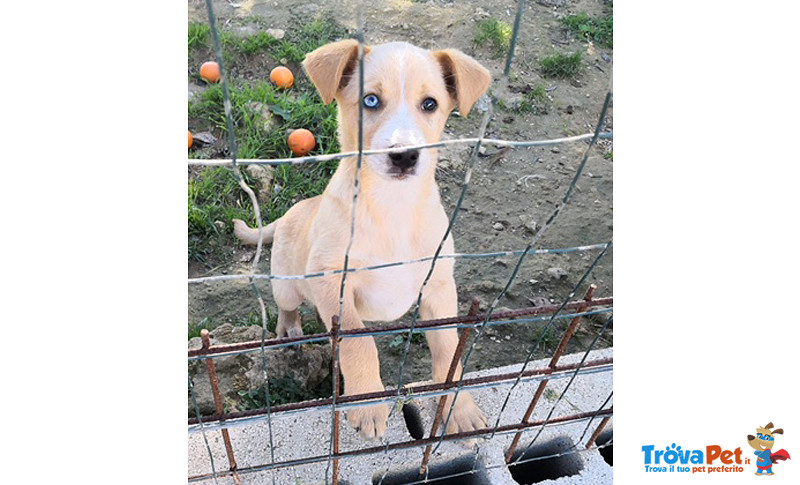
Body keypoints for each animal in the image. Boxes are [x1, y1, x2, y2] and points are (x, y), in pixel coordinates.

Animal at [234, 39, 490, 440]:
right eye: (370, 101)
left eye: (429, 104)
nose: (404, 155)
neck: (392, 205)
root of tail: (292, 212)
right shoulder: (330, 279)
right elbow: (358, 341)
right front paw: (367, 403)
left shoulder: (438, 285)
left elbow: (449, 348)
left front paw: (459, 408)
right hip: (286, 282)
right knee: (287, 307)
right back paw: (289, 329)